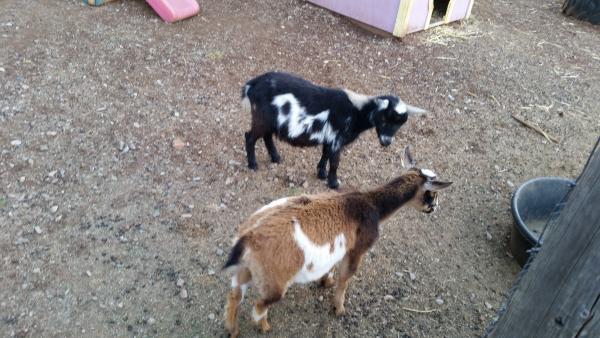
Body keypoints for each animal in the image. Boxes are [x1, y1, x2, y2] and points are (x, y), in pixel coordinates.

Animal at [223, 147, 452, 336]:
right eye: (432, 193)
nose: (435, 208)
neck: (371, 205)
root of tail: (247, 236)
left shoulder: (340, 248)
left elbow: (332, 268)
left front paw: (326, 281)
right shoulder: (358, 249)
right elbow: (345, 279)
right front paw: (339, 309)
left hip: (245, 271)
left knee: (234, 298)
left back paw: (233, 331)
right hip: (275, 281)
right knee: (259, 307)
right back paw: (264, 327)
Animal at [240, 71, 426, 189]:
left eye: (400, 124)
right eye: (385, 118)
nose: (386, 142)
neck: (357, 111)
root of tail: (254, 83)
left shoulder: (329, 137)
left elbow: (325, 154)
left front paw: (321, 173)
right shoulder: (337, 138)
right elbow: (335, 161)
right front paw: (334, 183)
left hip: (270, 120)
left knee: (267, 136)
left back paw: (275, 157)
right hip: (262, 117)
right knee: (250, 137)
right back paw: (253, 164)